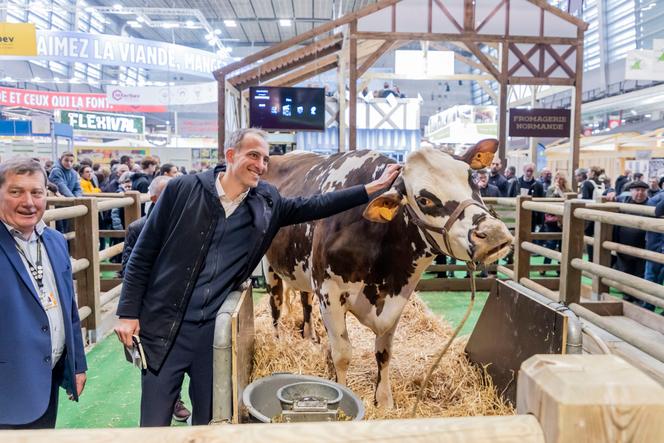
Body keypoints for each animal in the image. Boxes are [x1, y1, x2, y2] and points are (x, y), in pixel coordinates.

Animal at [262, 142, 510, 410]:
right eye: (424, 199)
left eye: (473, 178)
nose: (493, 233)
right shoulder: (330, 293)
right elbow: (342, 354)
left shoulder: (398, 296)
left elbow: (384, 353)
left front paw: (384, 401)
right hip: (270, 268)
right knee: (276, 304)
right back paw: (277, 340)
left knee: (305, 300)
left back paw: (310, 336)